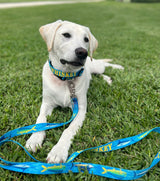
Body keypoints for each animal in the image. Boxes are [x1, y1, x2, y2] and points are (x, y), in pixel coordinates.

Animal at [25, 19, 124, 163]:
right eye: (66, 34)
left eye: (86, 39)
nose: (83, 52)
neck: (66, 78)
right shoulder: (46, 104)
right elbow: (40, 120)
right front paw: (34, 139)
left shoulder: (80, 110)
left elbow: (68, 130)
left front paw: (58, 151)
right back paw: (108, 78)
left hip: (96, 65)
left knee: (104, 66)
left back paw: (117, 69)